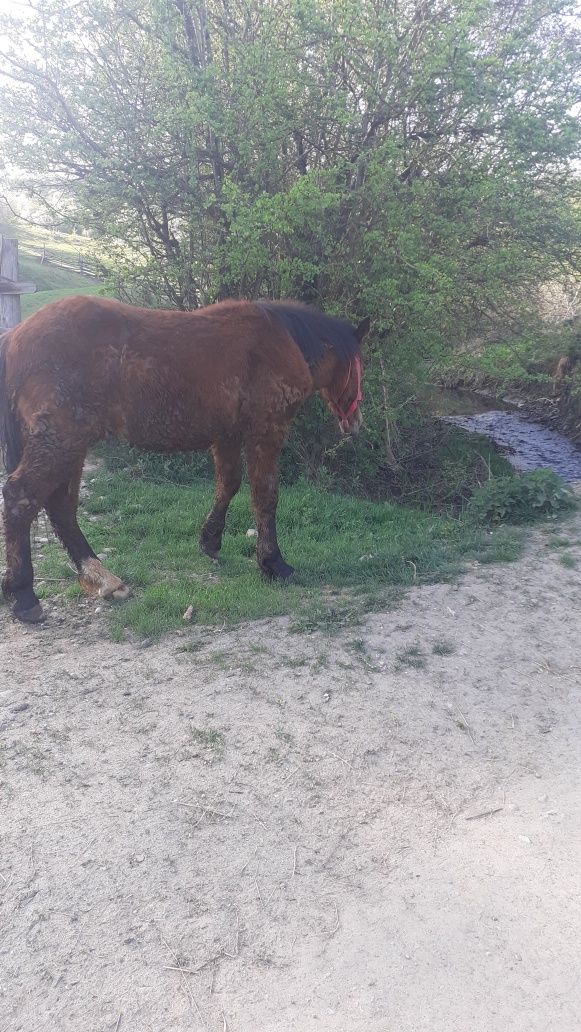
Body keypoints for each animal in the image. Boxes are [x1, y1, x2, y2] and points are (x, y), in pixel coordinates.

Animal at [0, 295, 367, 623]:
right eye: (359, 366)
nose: (355, 423)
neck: (281, 339)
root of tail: (16, 336)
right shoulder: (266, 432)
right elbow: (265, 496)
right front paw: (273, 563)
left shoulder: (227, 436)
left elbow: (228, 485)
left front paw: (211, 541)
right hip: (60, 443)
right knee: (21, 498)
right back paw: (24, 595)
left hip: (72, 447)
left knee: (61, 508)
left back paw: (101, 578)